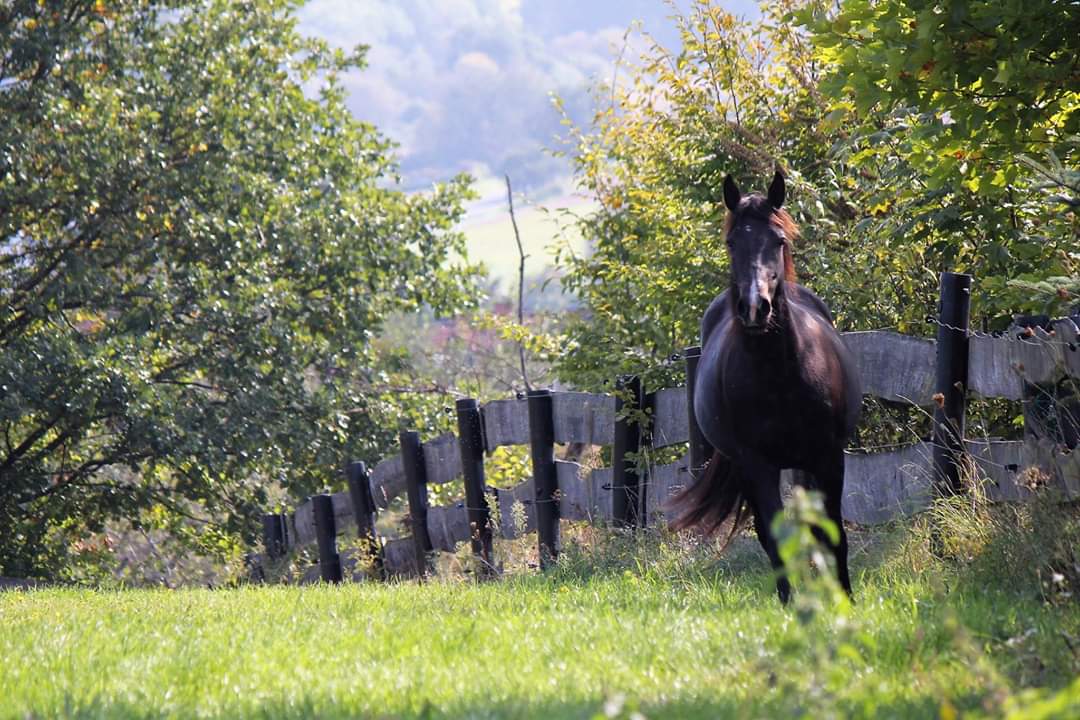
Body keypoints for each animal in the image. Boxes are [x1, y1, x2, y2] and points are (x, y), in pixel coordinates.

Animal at [670, 171, 862, 604]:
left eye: (778, 240)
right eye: (731, 242)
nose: (755, 308)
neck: (781, 376)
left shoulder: (829, 456)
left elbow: (834, 533)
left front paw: (844, 598)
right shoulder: (757, 463)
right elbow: (775, 538)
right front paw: (792, 604)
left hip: (805, 465)